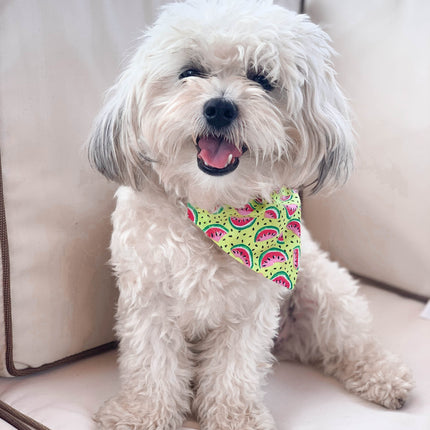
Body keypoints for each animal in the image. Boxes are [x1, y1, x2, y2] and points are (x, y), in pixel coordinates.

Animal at [88, 1, 414, 428]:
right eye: (189, 72)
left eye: (262, 78)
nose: (220, 107)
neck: (214, 208)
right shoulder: (149, 298)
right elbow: (153, 364)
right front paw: (142, 413)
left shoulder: (248, 310)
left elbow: (233, 370)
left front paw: (235, 417)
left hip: (325, 288)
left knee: (352, 344)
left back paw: (384, 377)